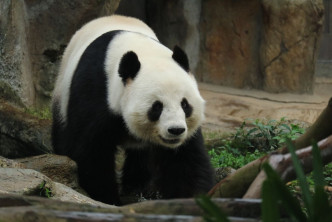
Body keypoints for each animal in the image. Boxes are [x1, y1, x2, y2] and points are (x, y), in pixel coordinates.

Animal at [50, 15, 214, 205]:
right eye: (157, 106)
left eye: (185, 104)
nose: (175, 130)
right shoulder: (96, 90)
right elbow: (91, 151)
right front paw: (108, 199)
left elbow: (185, 160)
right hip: (62, 90)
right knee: (62, 133)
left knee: (140, 157)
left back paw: (136, 187)